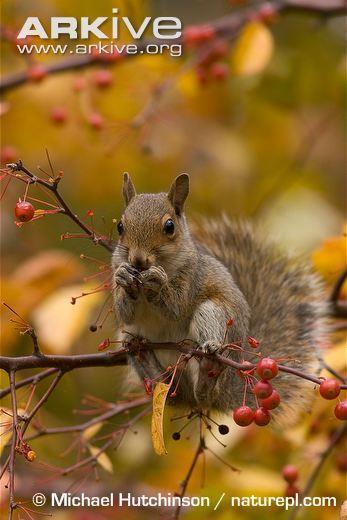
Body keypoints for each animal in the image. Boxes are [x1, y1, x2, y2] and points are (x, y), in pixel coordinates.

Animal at [111, 173, 326, 424]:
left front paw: (157, 281)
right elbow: (124, 311)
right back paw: (144, 357)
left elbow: (177, 306)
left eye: (169, 226)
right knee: (171, 392)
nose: (138, 260)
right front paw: (124, 276)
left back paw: (207, 371)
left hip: (212, 313)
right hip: (129, 336)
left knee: (205, 392)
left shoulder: (191, 276)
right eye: (120, 226)